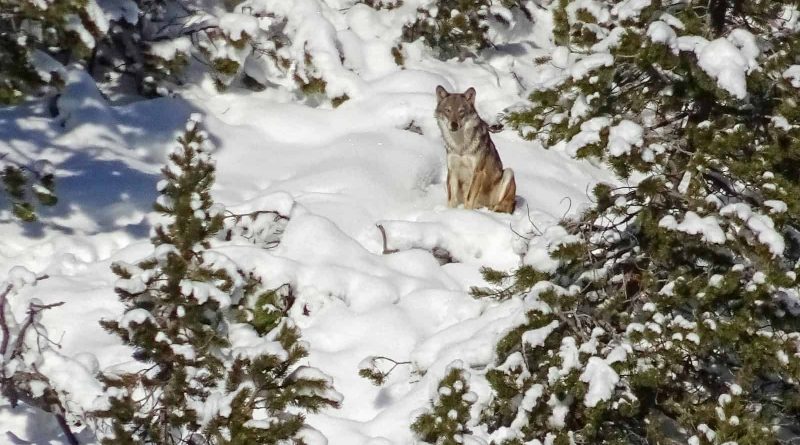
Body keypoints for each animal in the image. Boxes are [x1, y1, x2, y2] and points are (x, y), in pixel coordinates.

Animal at [435, 85, 516, 214]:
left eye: (461, 111)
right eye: (448, 110)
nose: (454, 124)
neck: (460, 146)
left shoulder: (477, 172)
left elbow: (469, 198)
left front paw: (467, 214)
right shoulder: (452, 170)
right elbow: (451, 198)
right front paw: (450, 213)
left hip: (508, 173)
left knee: (501, 207)